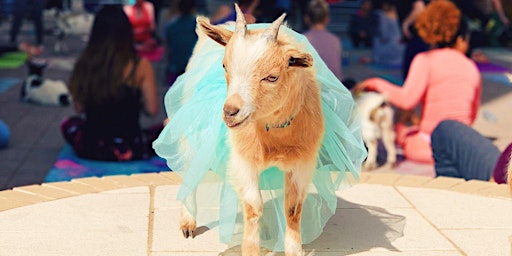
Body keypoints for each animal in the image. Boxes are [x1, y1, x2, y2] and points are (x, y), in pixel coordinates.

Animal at [180, 4, 324, 256]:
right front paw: (250, 249)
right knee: (191, 168)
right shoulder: (243, 159)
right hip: (192, 131)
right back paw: (188, 222)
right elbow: (252, 205)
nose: (230, 111)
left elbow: (292, 208)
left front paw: (294, 249)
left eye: (272, 77)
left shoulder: (302, 162)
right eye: (224, 66)